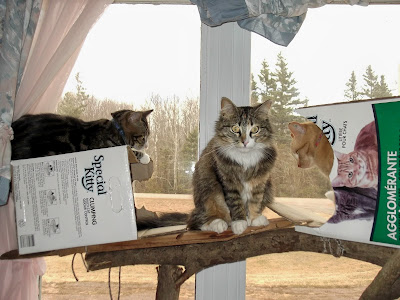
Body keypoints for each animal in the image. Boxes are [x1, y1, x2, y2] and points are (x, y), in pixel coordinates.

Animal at [187, 97, 276, 236]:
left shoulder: (259, 182)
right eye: (235, 128)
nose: (245, 142)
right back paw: (218, 223)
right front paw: (239, 222)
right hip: (208, 187)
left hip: (269, 188)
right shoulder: (228, 182)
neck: (245, 158)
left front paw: (254, 219)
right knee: (196, 221)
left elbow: (255, 200)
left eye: (255, 129)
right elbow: (235, 203)